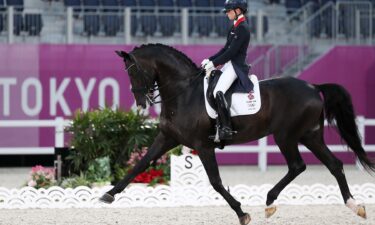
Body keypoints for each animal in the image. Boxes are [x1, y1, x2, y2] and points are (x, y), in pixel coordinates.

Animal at [100, 43, 375, 224]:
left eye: (134, 70)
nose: (140, 102)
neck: (183, 92)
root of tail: (313, 86)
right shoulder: (167, 138)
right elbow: (140, 164)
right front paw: (108, 194)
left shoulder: (203, 145)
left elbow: (215, 181)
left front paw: (242, 213)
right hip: (310, 135)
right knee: (334, 164)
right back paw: (355, 206)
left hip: (286, 136)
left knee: (298, 166)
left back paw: (270, 202)